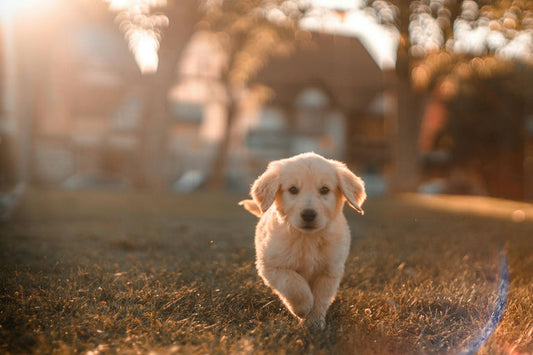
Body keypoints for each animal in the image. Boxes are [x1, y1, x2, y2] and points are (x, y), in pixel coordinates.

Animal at [241, 152, 366, 330]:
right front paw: (303, 308)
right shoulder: (272, 266)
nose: (308, 214)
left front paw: (315, 323)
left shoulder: (329, 271)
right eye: (293, 190)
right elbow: (294, 284)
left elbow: (321, 298)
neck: (308, 239)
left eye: (324, 190)